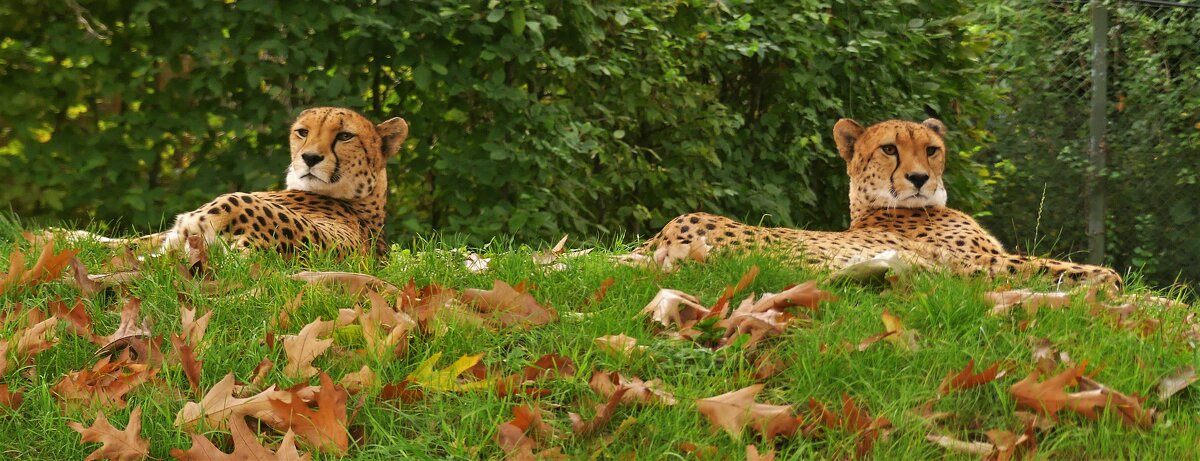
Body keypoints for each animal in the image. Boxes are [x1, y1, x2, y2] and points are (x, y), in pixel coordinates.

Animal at [638, 117, 1123, 285]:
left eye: (931, 149)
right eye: (889, 148)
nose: (919, 178)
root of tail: (656, 239)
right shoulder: (982, 262)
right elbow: (1078, 269)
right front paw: (1117, 284)